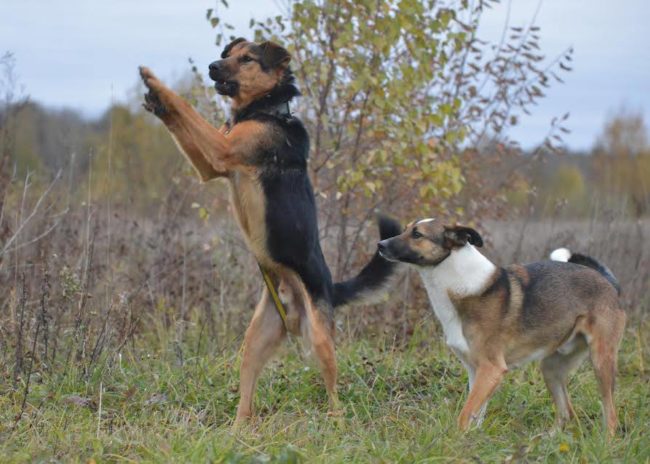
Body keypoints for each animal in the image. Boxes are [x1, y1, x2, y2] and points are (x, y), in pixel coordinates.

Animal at [137, 38, 400, 426]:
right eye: (229, 55)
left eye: (247, 59)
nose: (213, 66)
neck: (267, 111)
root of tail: (323, 289)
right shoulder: (213, 165)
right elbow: (181, 121)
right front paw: (156, 101)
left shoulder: (222, 149)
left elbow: (185, 106)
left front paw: (156, 83)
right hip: (255, 340)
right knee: (247, 395)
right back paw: (237, 430)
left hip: (320, 338)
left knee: (334, 387)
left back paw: (336, 422)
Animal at [378, 218, 624, 436]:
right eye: (406, 229)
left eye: (417, 234)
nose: (380, 244)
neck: (459, 284)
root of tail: (609, 282)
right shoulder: (476, 371)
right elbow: (476, 415)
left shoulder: (491, 369)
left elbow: (465, 415)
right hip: (552, 368)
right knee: (567, 414)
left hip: (601, 361)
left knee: (611, 416)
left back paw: (606, 444)